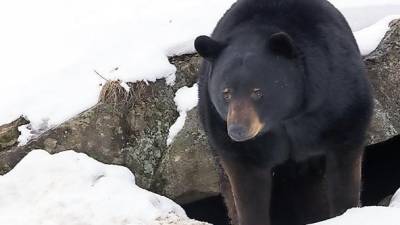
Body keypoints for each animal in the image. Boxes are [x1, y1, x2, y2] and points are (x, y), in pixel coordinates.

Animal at [195, 0, 374, 225]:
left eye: (257, 91)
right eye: (226, 93)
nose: (237, 130)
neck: (285, 117)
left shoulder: (337, 100)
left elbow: (344, 157)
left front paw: (346, 212)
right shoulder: (226, 132)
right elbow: (247, 184)